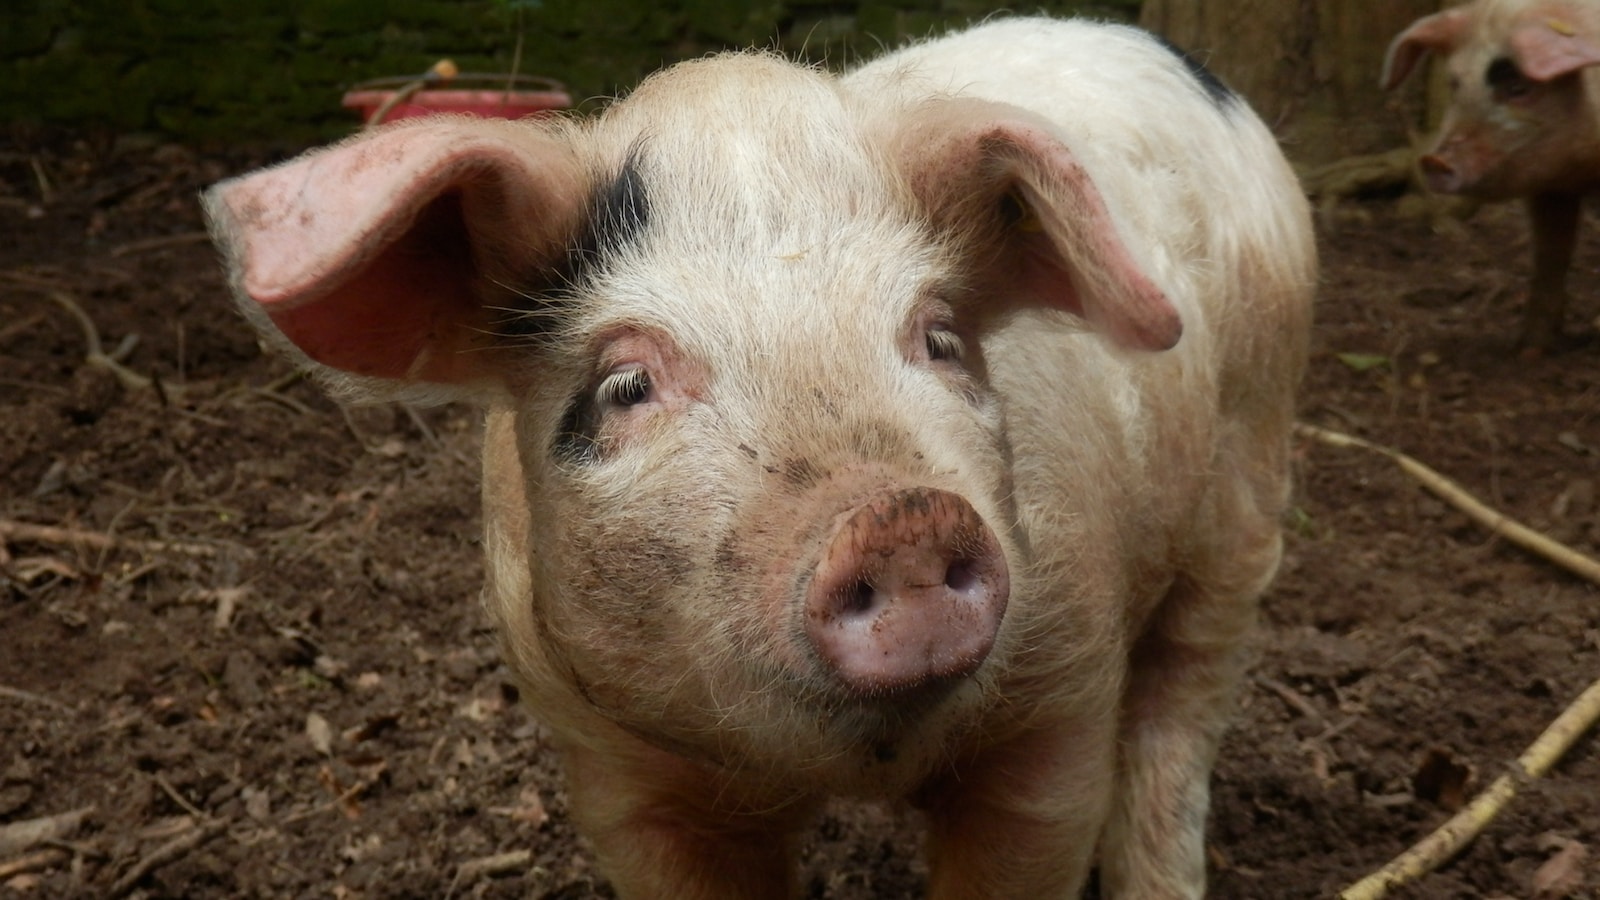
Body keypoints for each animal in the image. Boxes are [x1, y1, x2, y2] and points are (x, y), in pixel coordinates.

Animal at [203, 14, 1312, 896]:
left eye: (939, 339)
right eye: (625, 386)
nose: (900, 516)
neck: (856, 766)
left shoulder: (1060, 710)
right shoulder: (615, 769)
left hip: (1251, 463)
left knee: (1180, 713)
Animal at [1376, 0, 1600, 352]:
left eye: (1519, 88)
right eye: (1454, 83)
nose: (1433, 160)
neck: (1583, 163)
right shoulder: (1552, 188)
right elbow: (1550, 257)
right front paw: (1528, 352)